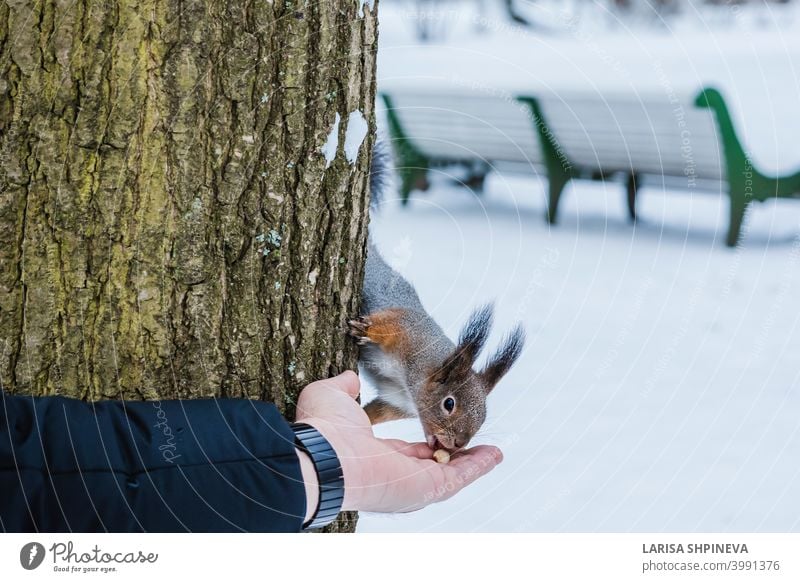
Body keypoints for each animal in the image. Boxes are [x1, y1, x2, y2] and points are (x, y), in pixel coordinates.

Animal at [348, 144, 524, 454]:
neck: (409, 384)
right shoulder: (408, 330)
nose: (458, 444)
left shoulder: (394, 402)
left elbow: (373, 412)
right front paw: (366, 329)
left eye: (483, 416)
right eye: (449, 403)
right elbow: (389, 324)